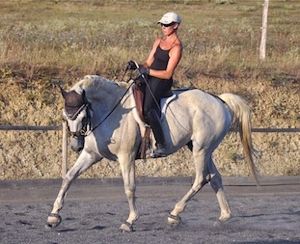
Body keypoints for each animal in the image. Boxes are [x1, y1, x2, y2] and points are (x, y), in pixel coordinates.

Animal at [46, 75, 258, 232]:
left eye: (82, 115)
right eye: (65, 116)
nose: (75, 146)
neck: (111, 110)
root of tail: (220, 100)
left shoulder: (126, 157)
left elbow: (129, 188)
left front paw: (130, 221)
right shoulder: (91, 154)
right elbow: (69, 177)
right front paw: (54, 216)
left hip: (201, 149)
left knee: (201, 178)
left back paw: (174, 215)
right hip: (202, 149)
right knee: (215, 177)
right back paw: (223, 217)